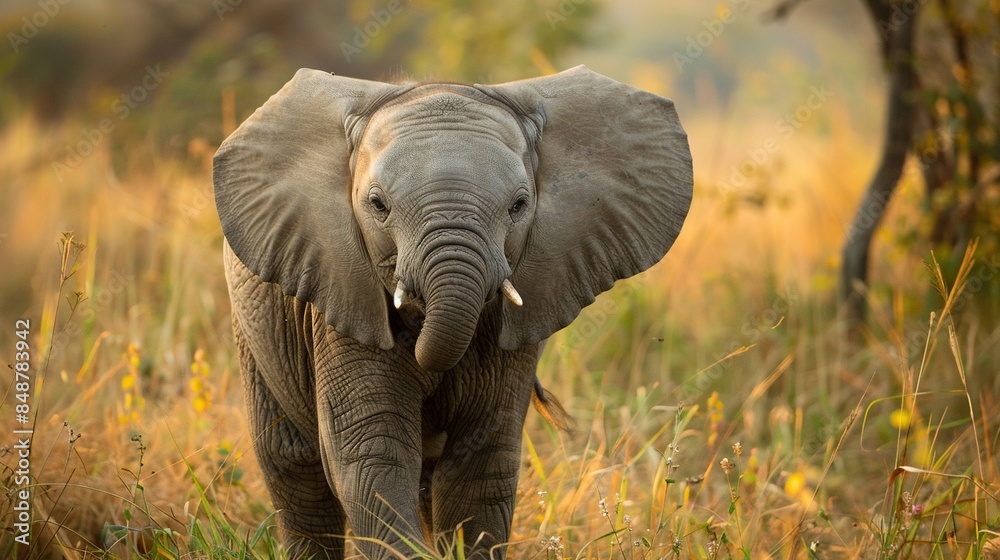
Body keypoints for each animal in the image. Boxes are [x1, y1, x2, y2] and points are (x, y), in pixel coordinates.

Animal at [213, 65, 693, 559]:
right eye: (378, 205)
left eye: (519, 205)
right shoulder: (337, 296)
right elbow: (371, 456)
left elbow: (479, 466)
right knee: (294, 467)